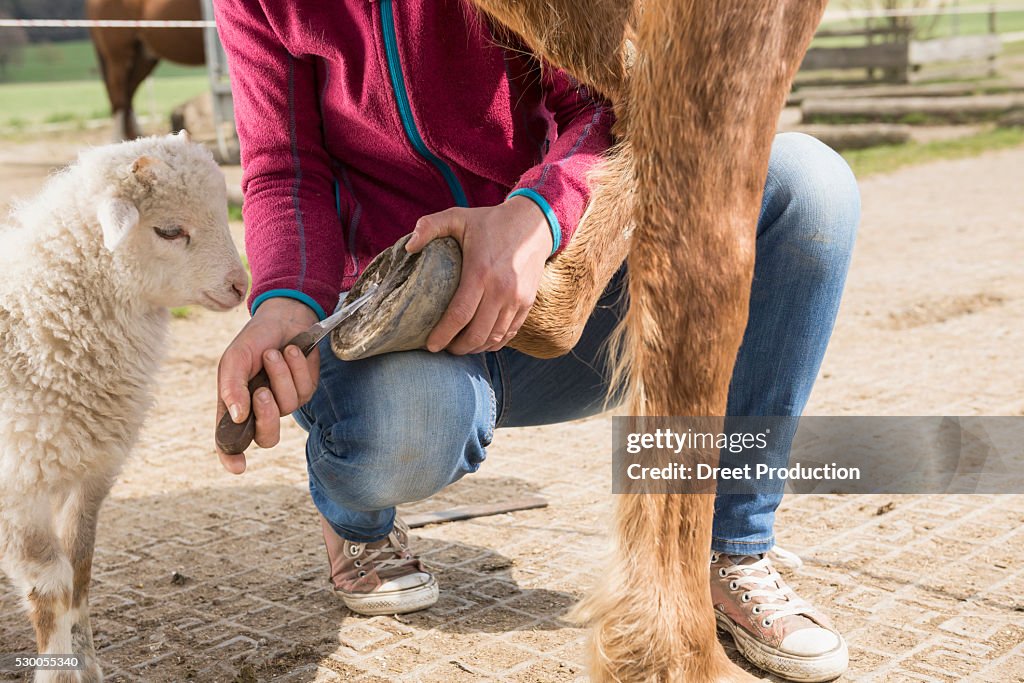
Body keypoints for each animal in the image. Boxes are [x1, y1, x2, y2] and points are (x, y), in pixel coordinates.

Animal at [0, 131, 246, 679]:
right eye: (170, 230)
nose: (240, 286)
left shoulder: (92, 472)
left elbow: (80, 569)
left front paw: (87, 665)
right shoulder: (18, 485)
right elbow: (49, 586)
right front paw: (56, 671)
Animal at [86, 0, 203, 141]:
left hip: (143, 56)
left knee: (128, 94)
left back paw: (134, 137)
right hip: (118, 56)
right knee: (118, 97)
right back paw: (118, 140)